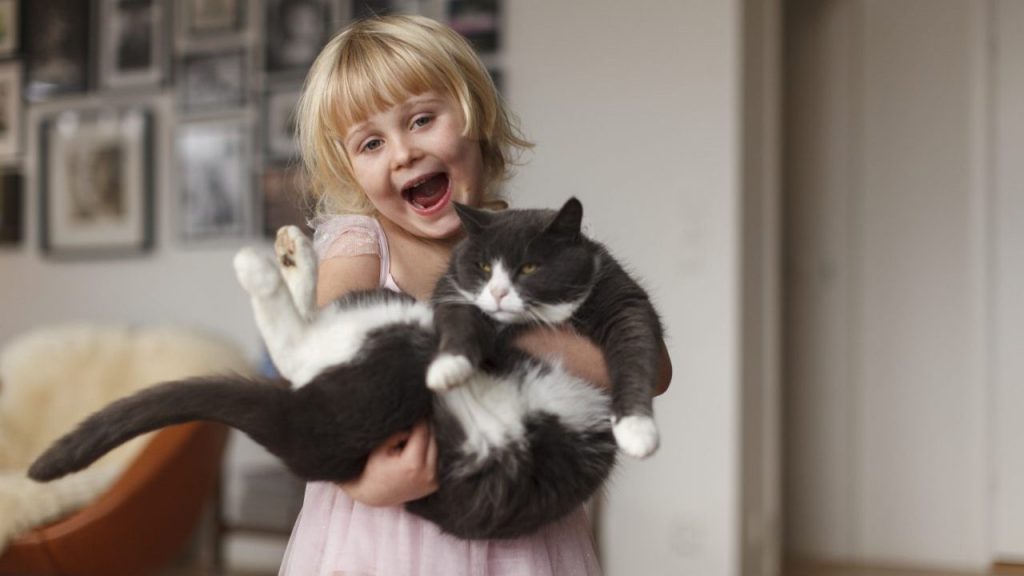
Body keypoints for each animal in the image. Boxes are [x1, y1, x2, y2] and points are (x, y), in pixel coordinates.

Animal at [29, 196, 663, 537]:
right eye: (484, 267)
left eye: (530, 266)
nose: (501, 294)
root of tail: (296, 424)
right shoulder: (450, 298)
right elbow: (461, 323)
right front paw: (453, 364)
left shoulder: (625, 303)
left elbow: (640, 354)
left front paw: (637, 430)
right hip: (399, 326)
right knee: (302, 344)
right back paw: (277, 257)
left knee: (301, 346)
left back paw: (278, 259)